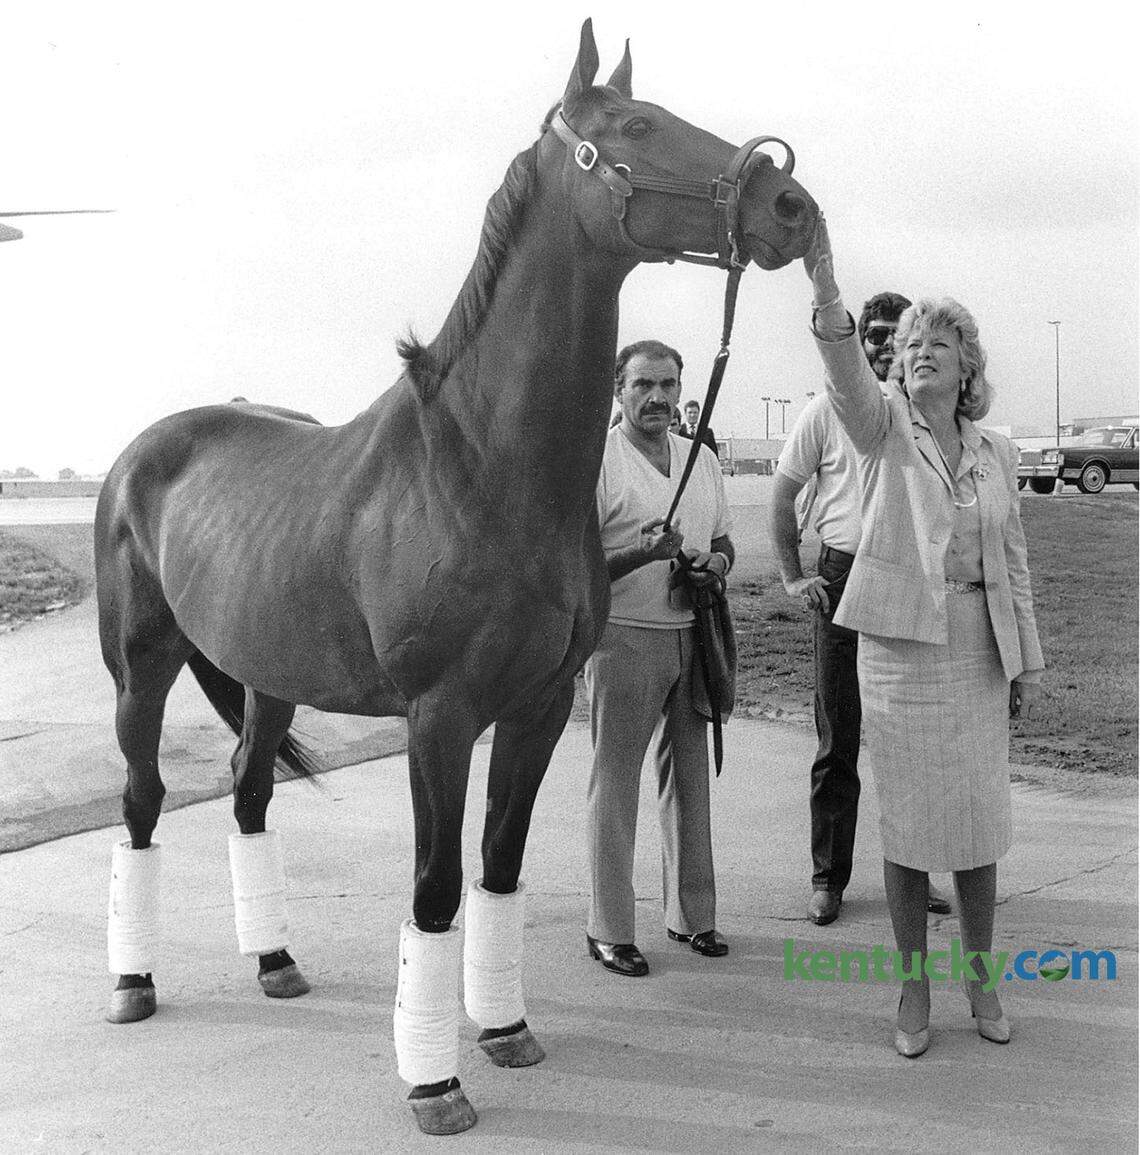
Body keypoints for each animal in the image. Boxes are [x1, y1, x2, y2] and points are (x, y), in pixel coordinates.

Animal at [94, 19, 817, 1136]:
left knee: (248, 795)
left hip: (264, 675)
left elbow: (498, 869)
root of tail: (141, 453)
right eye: (636, 125)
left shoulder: (537, 707)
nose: (787, 202)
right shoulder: (439, 720)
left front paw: (505, 1030)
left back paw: (275, 961)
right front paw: (435, 1085)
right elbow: (435, 890)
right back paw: (133, 985)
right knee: (140, 801)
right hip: (142, 669)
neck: (480, 467)